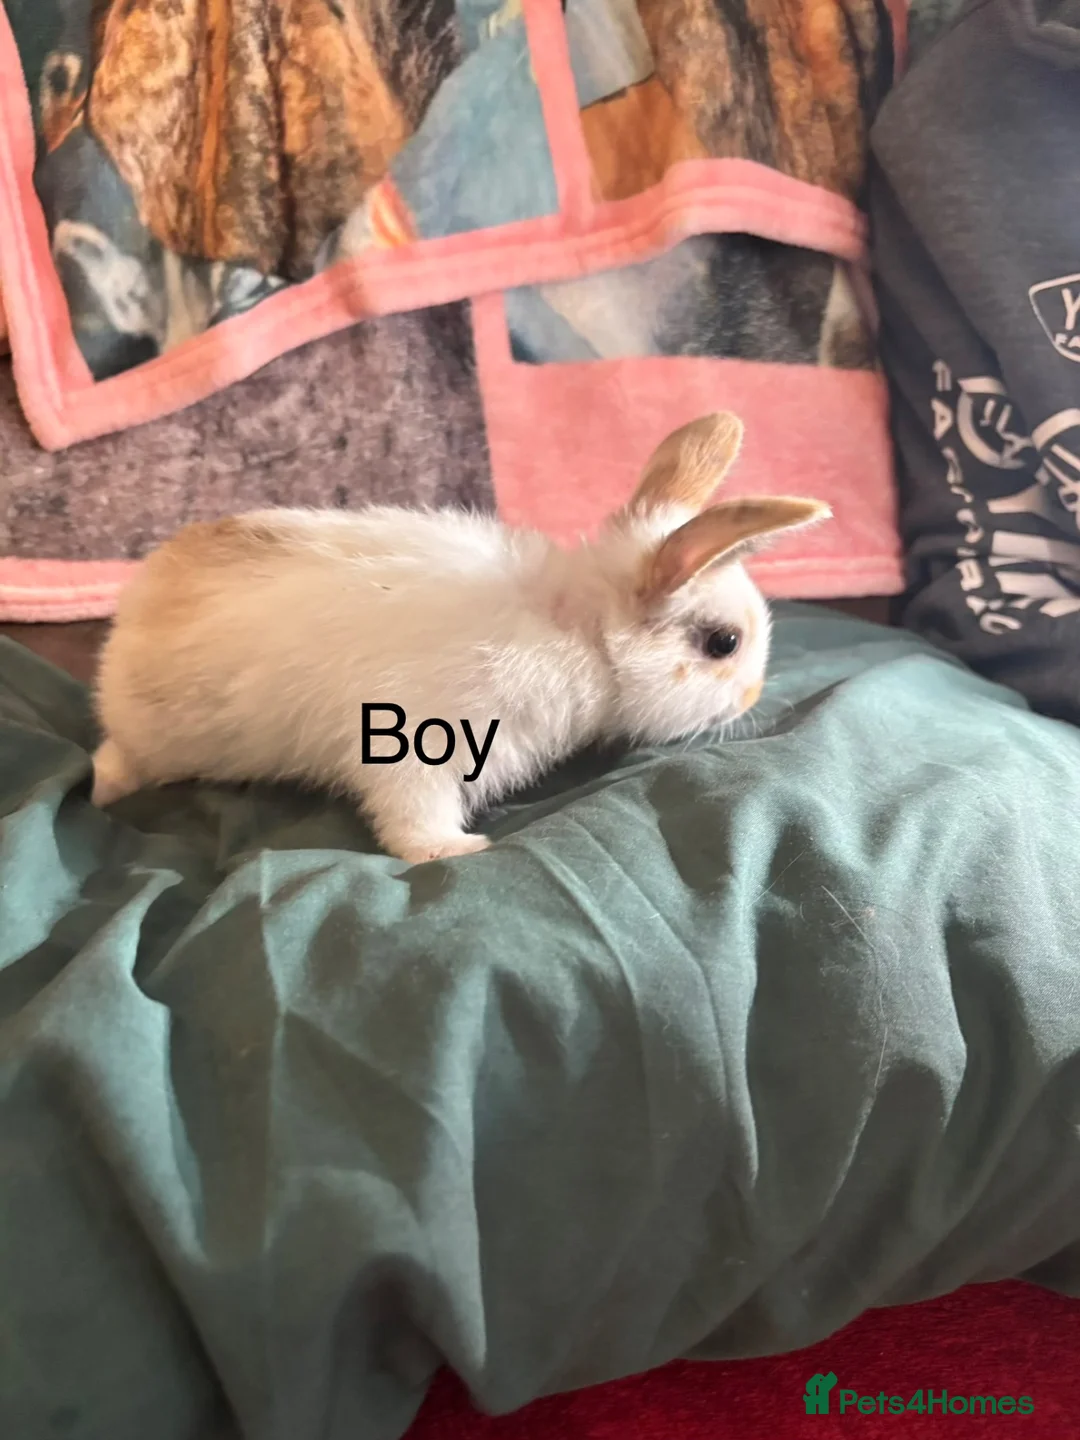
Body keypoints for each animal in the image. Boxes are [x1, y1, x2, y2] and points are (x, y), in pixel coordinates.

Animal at [90, 412, 830, 863]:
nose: (753, 697)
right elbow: (412, 812)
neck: (584, 631)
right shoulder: (417, 740)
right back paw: (103, 792)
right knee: (113, 757)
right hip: (153, 739)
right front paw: (452, 852)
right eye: (723, 644)